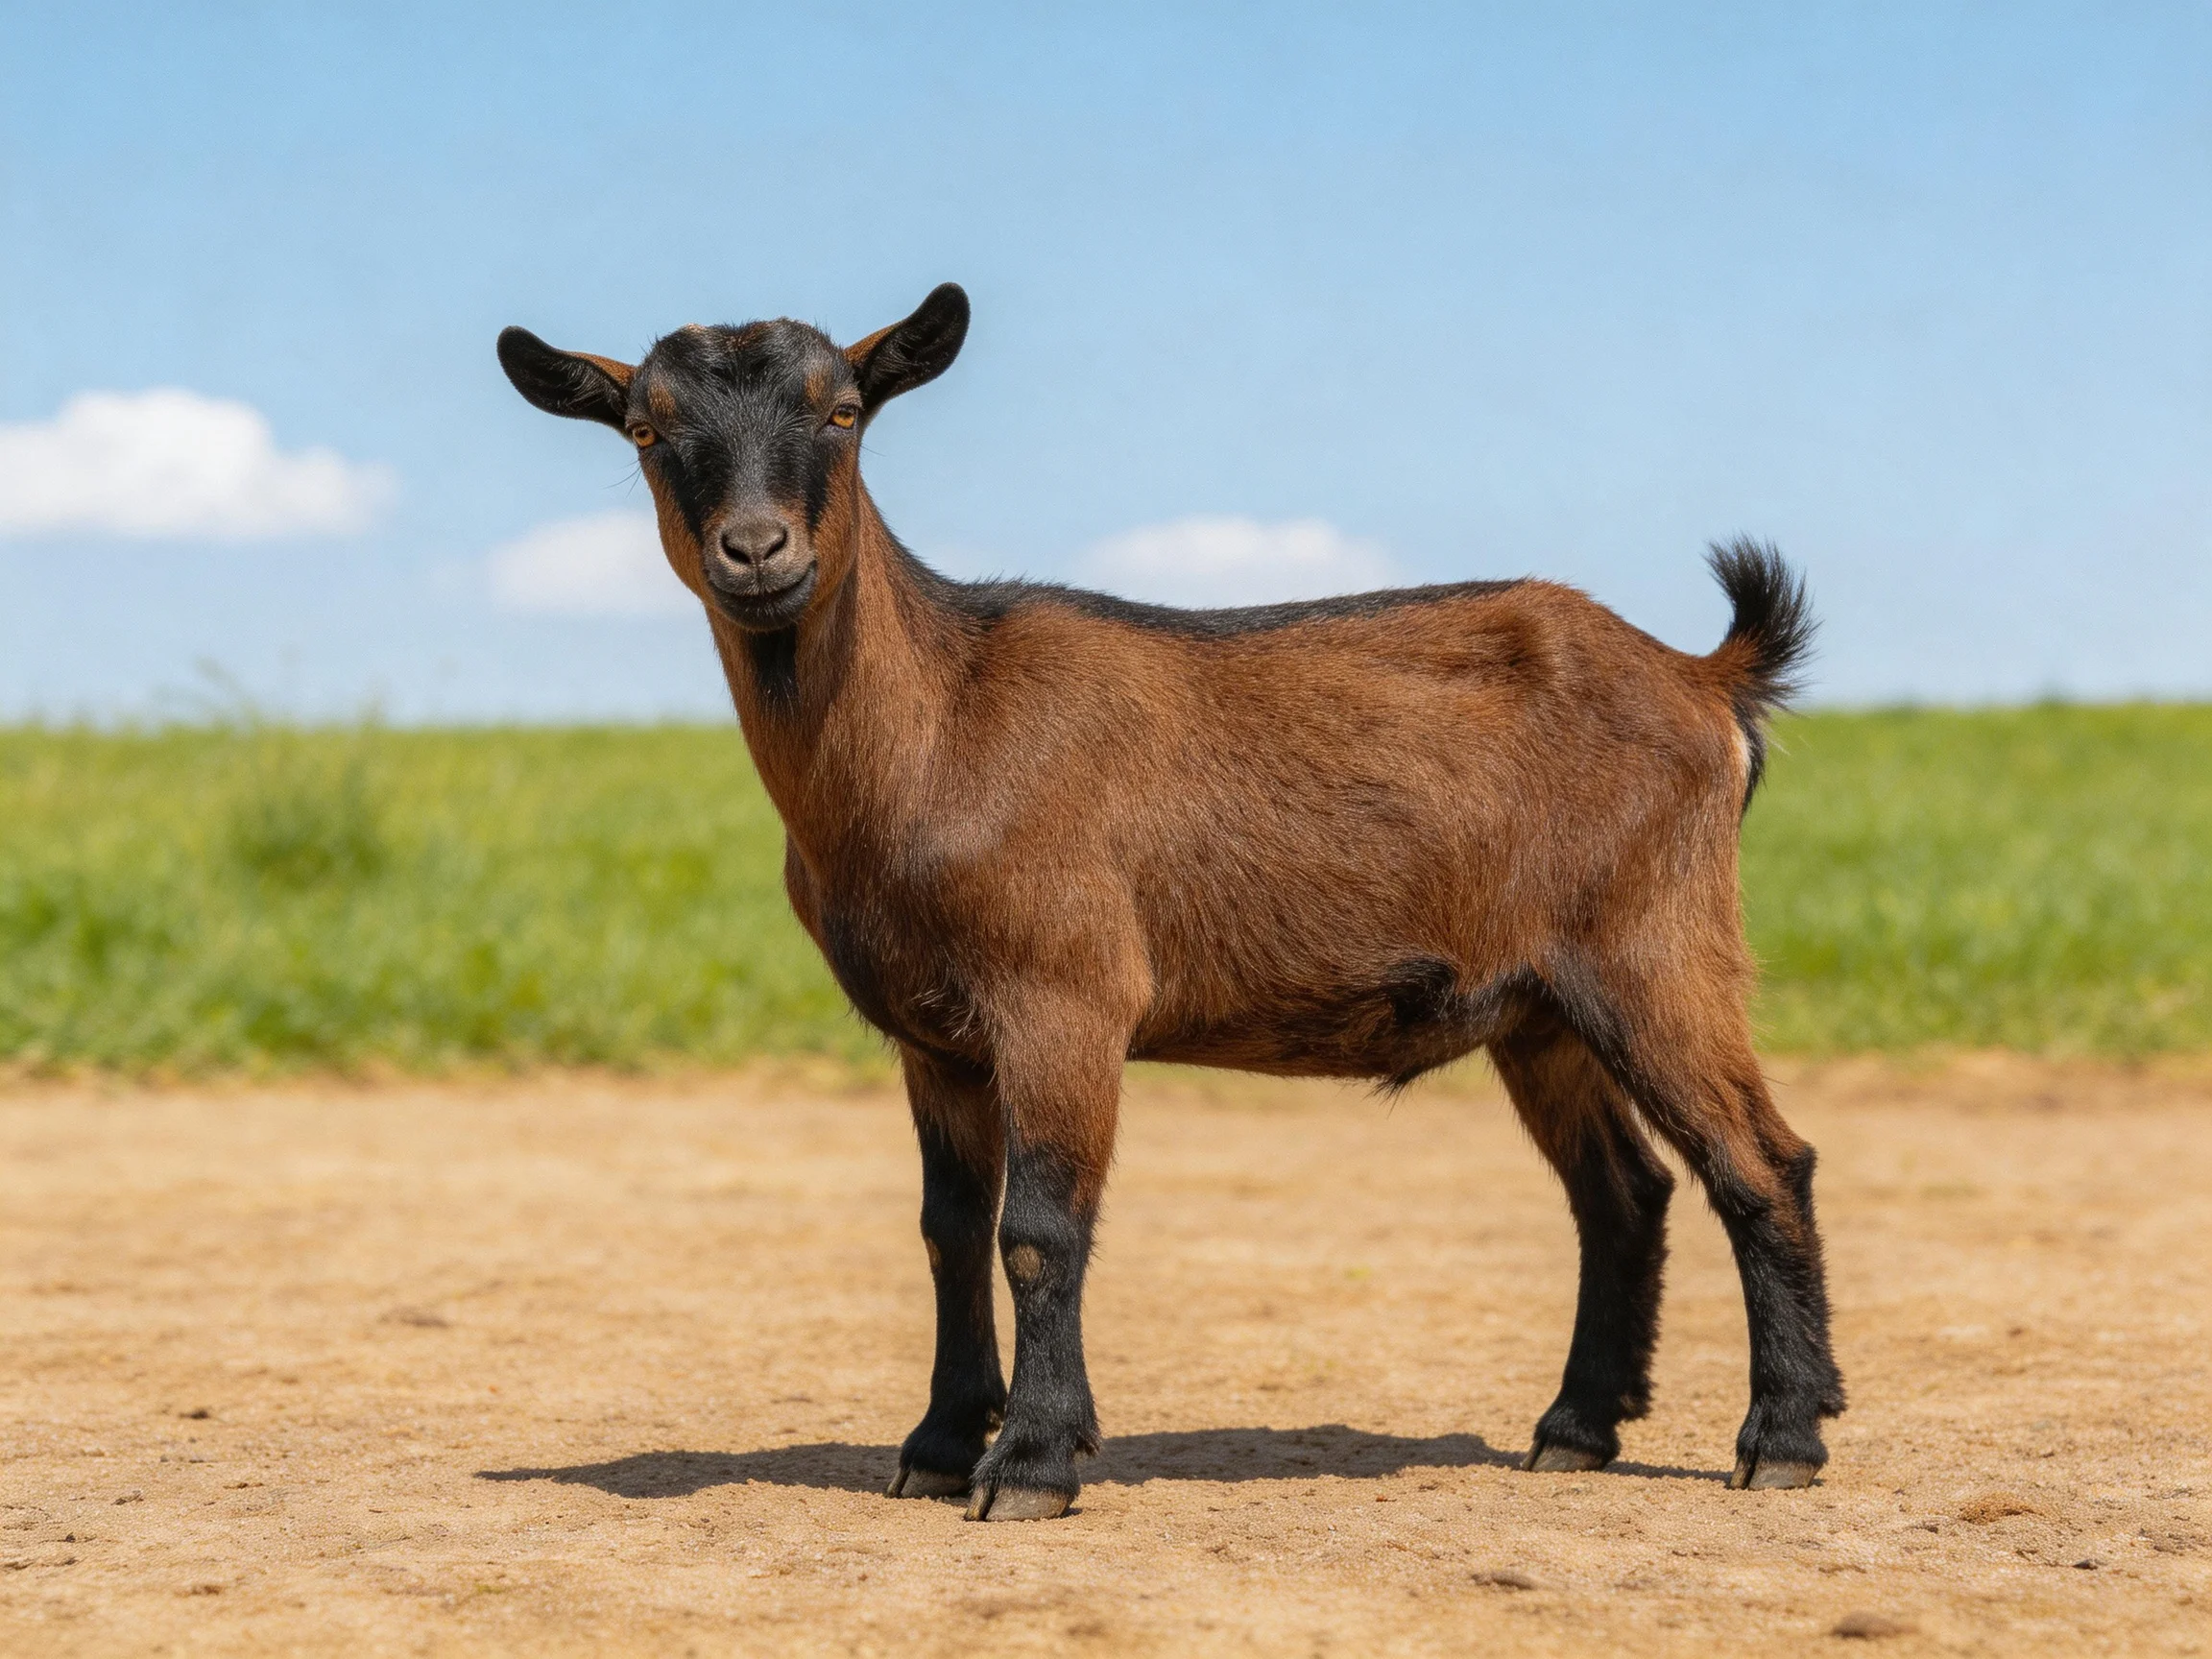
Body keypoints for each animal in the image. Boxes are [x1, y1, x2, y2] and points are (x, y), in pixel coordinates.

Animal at [497, 284, 1843, 1521]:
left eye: (842, 412)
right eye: (647, 428)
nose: (758, 550)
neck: (940, 727)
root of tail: (1703, 678)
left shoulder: (1065, 995)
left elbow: (1038, 1228)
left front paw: (1031, 1462)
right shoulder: (934, 1035)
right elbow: (946, 1228)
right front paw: (936, 1446)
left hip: (1656, 943)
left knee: (1759, 1161)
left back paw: (1780, 1437)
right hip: (1539, 1006)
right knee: (1622, 1192)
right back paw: (1574, 1428)